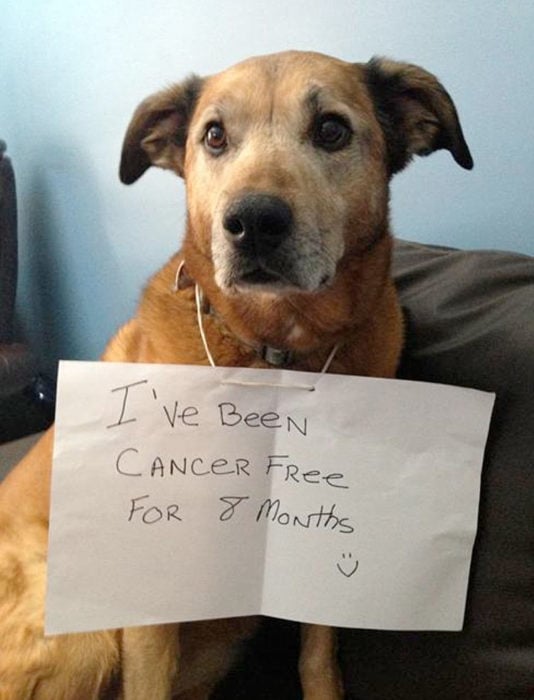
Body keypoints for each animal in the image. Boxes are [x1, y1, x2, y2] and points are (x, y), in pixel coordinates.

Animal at [0, 50, 474, 700]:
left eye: (331, 130)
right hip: (80, 633)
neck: (274, 355)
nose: (252, 221)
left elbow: (317, 658)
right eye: (214, 136)